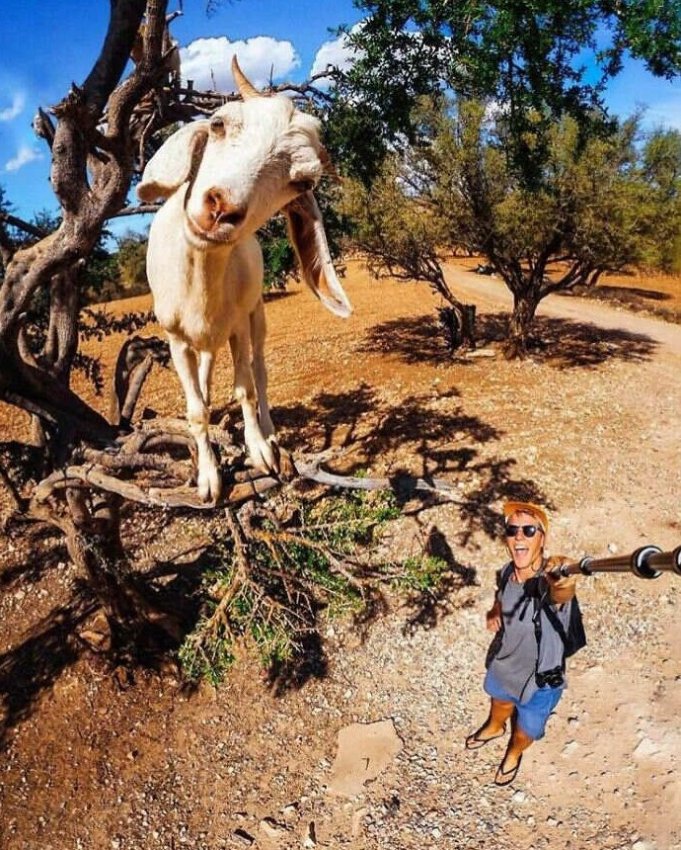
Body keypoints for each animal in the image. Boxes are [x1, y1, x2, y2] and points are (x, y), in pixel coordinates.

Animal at [137, 57, 352, 502]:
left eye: (302, 182)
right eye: (218, 124)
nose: (220, 209)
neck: (200, 285)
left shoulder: (238, 324)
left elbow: (246, 387)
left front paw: (259, 450)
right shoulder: (175, 339)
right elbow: (196, 408)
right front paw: (208, 477)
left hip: (257, 316)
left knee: (260, 371)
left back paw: (269, 433)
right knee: (207, 370)